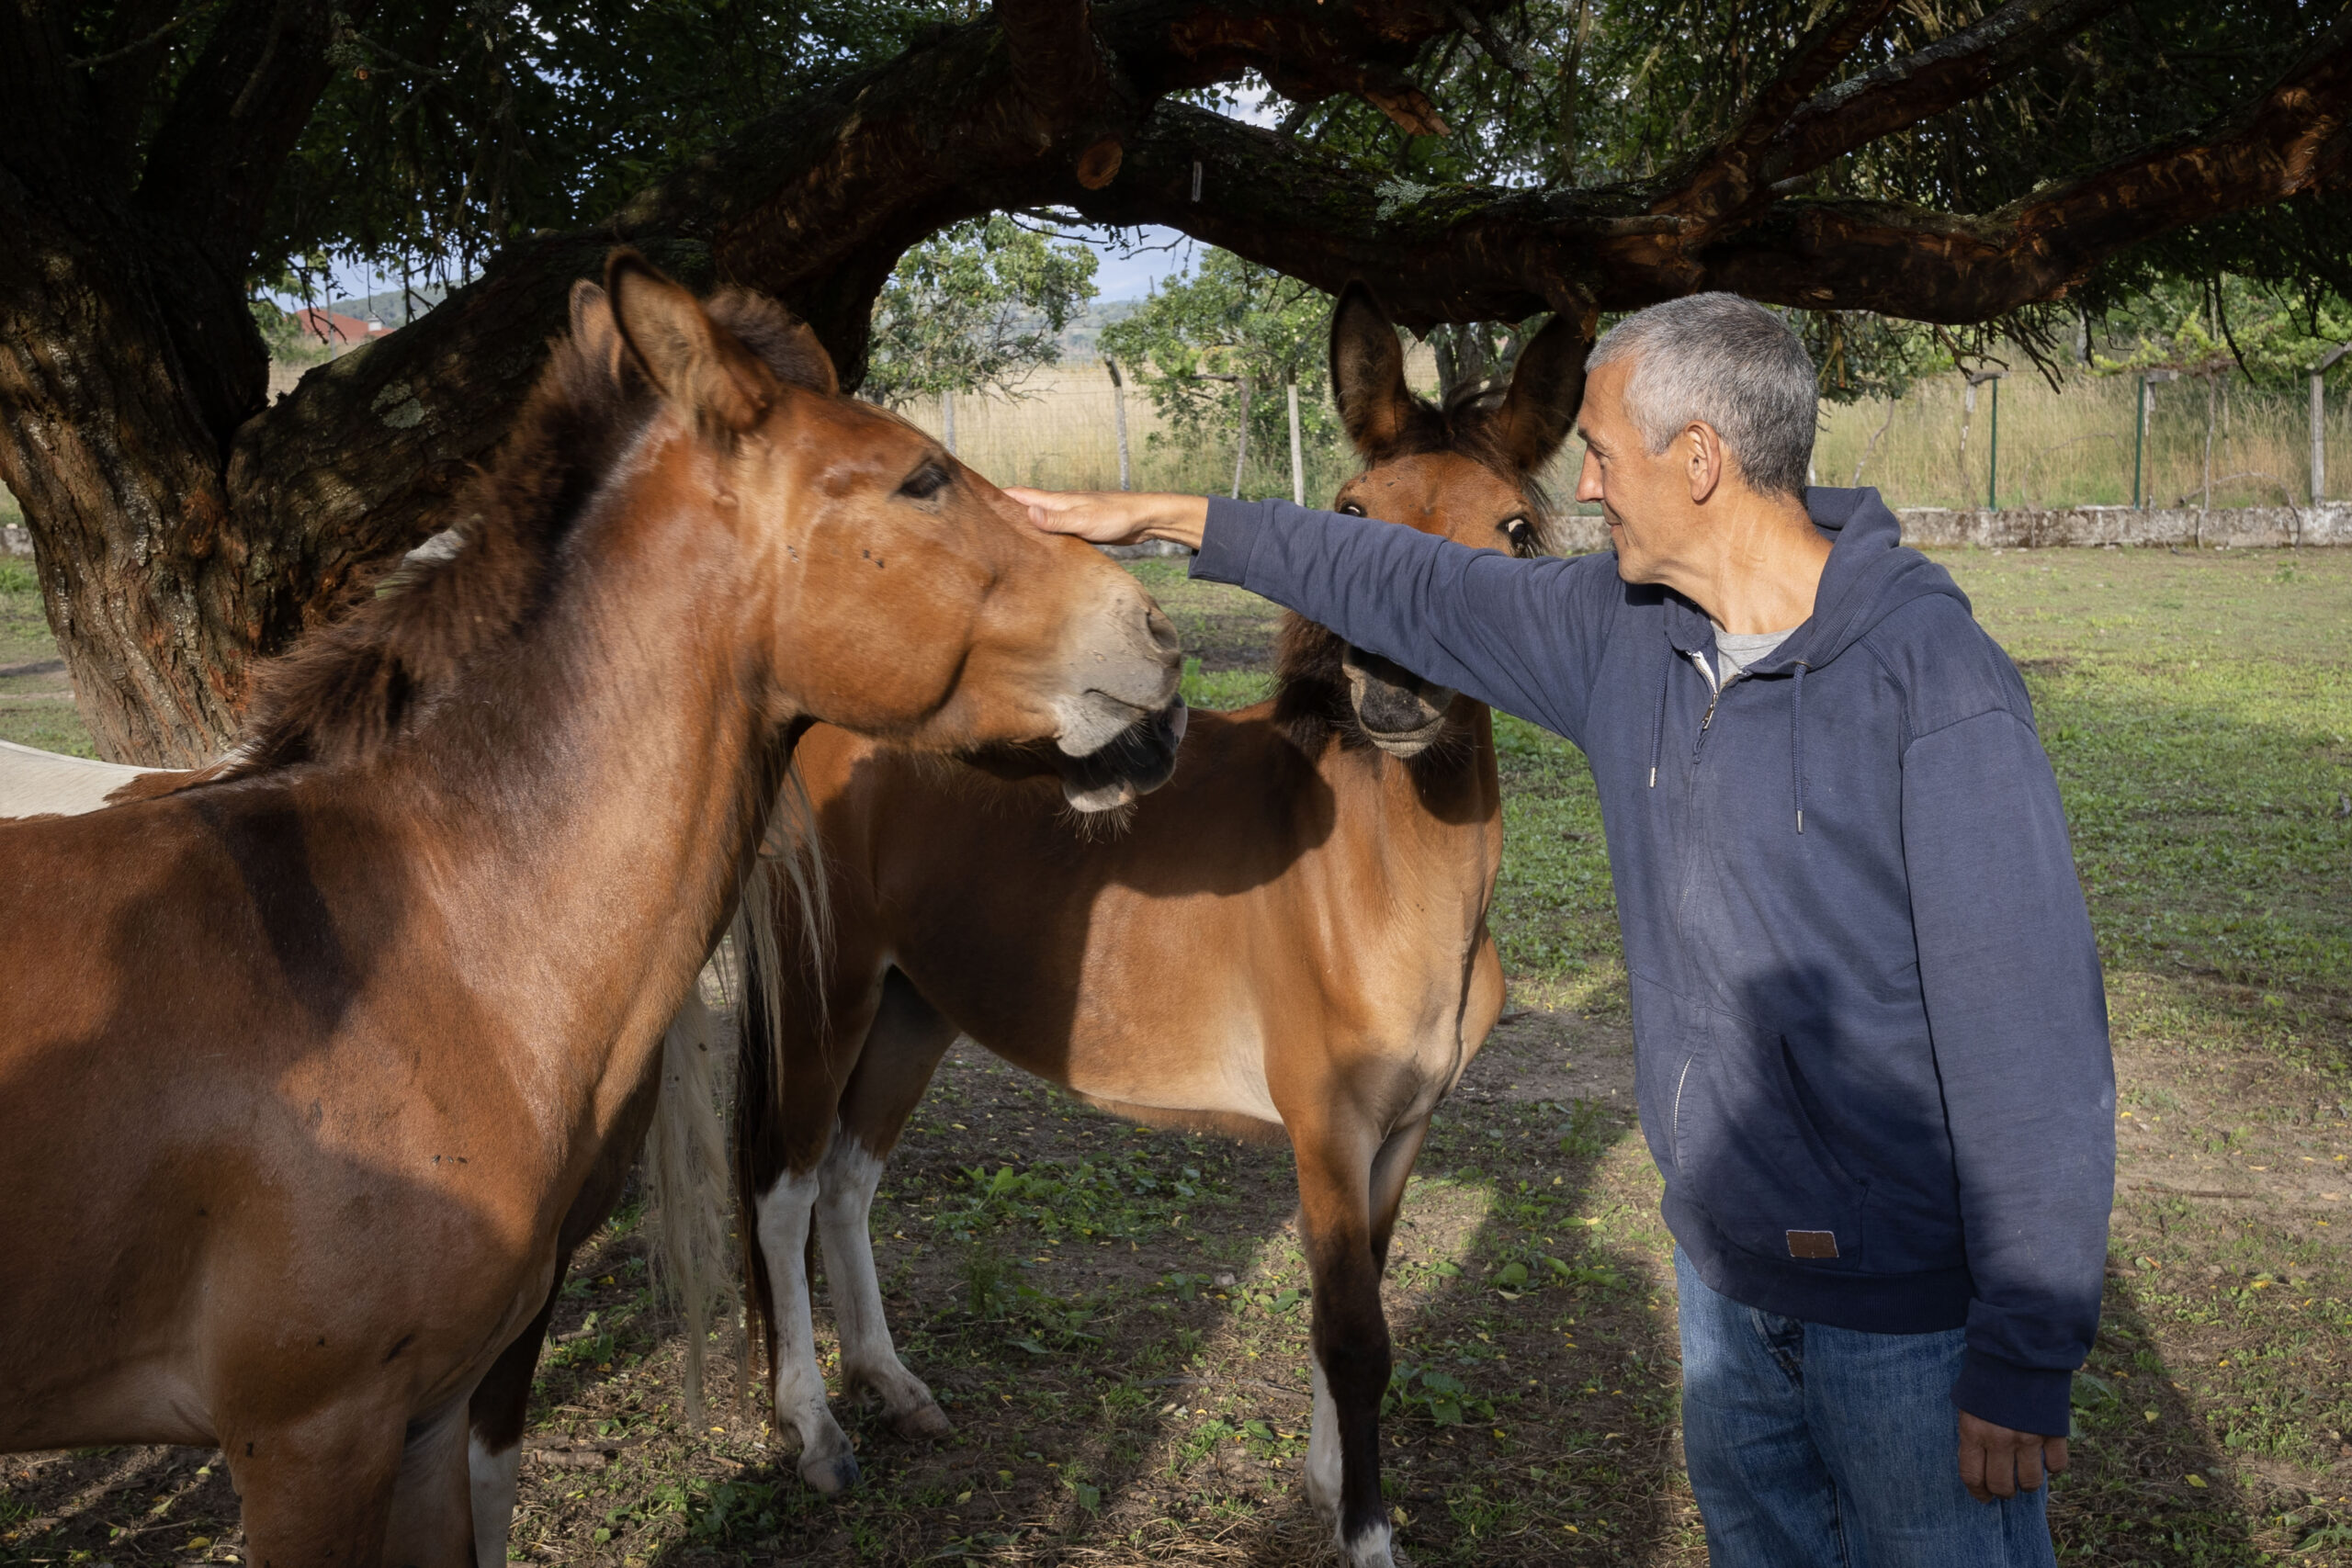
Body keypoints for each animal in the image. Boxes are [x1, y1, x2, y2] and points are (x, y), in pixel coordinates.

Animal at [732, 283, 1588, 1568]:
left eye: (1517, 531)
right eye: (1349, 514)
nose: (1392, 692)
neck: (1374, 887)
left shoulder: (1400, 1134)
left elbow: (1362, 1302)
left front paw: (1323, 1481)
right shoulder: (1324, 1131)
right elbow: (1353, 1337)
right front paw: (1363, 1530)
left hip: (913, 1006)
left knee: (847, 1183)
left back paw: (897, 1390)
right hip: (824, 990)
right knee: (782, 1196)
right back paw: (815, 1433)